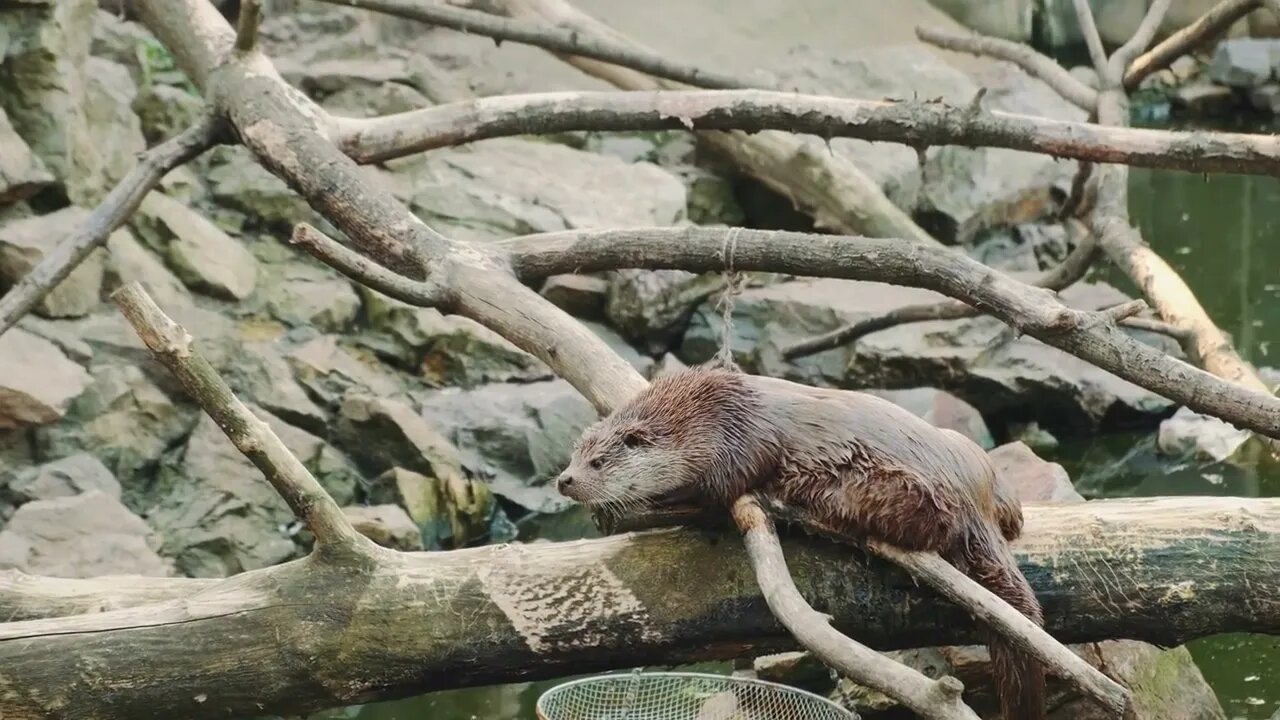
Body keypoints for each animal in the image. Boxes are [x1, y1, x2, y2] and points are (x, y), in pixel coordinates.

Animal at [555, 363, 1044, 717]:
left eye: (598, 463)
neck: (698, 420)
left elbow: (714, 495)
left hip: (890, 488)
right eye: (574, 455)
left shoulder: (734, 446)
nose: (565, 480)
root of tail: (972, 498)